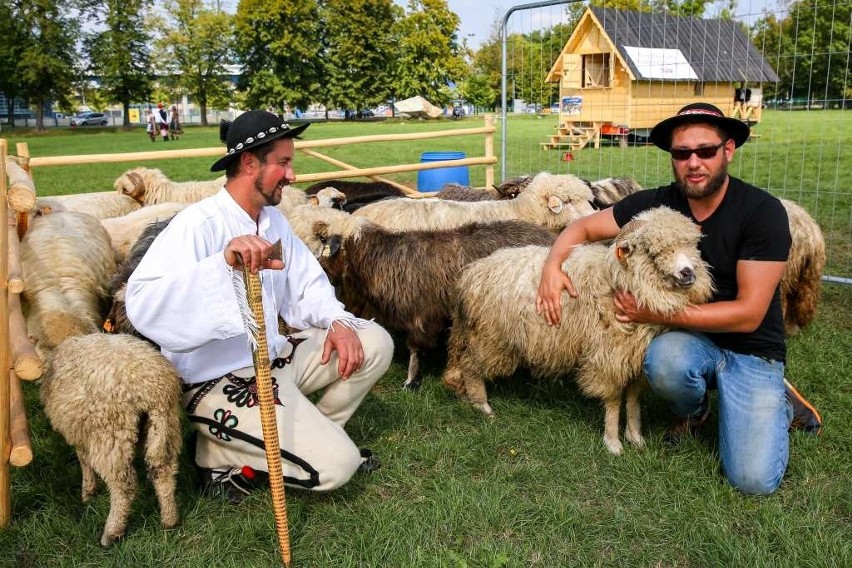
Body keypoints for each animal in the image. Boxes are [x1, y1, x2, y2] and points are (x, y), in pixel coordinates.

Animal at [39, 332, 182, 544]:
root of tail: (152, 390)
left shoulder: (81, 430)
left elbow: (83, 459)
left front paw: (88, 491)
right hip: (165, 426)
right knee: (163, 472)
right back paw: (169, 520)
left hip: (111, 436)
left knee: (124, 486)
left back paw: (112, 532)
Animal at [310, 215, 556, 388]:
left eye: (328, 248)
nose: (318, 266)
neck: (380, 258)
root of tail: (548, 236)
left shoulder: (421, 316)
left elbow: (415, 349)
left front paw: (411, 380)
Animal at [442, 206, 716, 454]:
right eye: (651, 251)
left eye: (692, 245)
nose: (687, 273)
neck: (617, 284)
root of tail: (471, 274)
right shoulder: (608, 356)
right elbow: (614, 400)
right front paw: (613, 443)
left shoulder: (635, 357)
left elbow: (633, 399)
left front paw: (635, 436)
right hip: (492, 338)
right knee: (470, 366)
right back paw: (482, 404)